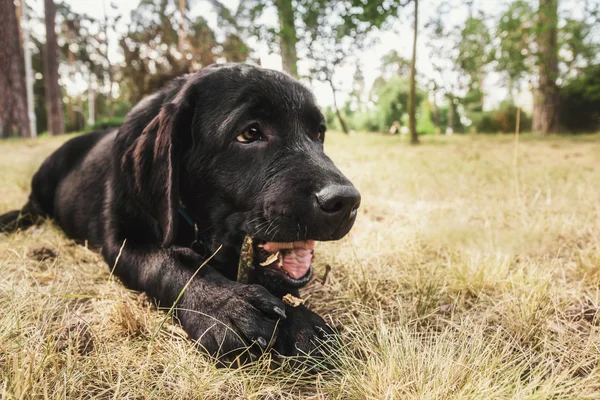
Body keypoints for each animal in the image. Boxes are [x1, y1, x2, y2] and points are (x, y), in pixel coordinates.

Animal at [0, 63, 360, 362]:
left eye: (318, 134)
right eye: (249, 133)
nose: (346, 202)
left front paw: (299, 321)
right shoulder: (121, 238)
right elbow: (170, 261)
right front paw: (225, 307)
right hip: (45, 177)